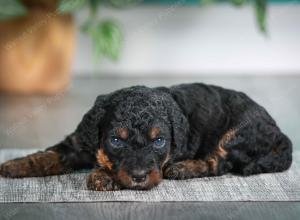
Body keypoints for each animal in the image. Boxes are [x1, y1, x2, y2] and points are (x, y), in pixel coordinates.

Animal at [0, 83, 292, 190]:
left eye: (159, 141)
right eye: (116, 140)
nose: (140, 177)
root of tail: (280, 134)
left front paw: (102, 176)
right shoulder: (77, 143)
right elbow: (47, 155)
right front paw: (12, 165)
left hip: (237, 133)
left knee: (219, 163)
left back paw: (183, 168)